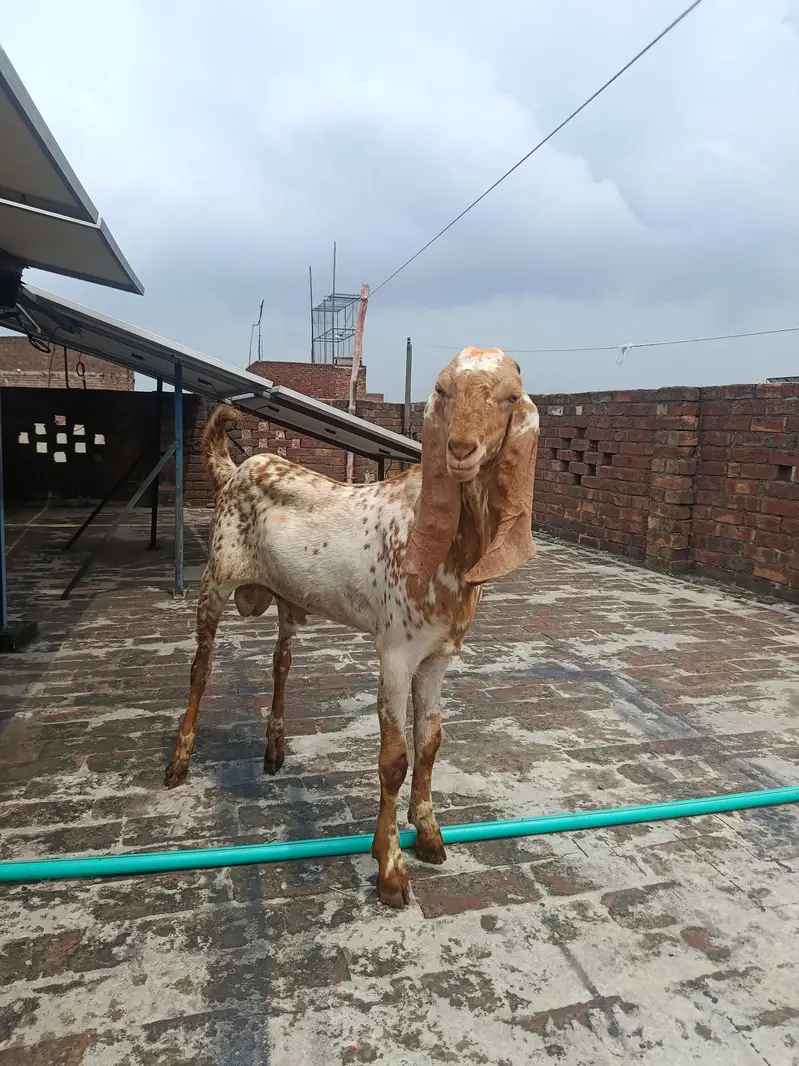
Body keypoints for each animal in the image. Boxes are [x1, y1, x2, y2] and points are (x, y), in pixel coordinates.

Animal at [164, 346, 539, 909]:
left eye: (511, 397)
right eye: (442, 390)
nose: (460, 449)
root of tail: (232, 469)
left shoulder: (438, 656)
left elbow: (431, 740)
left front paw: (430, 835)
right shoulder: (396, 651)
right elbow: (395, 758)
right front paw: (390, 868)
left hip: (286, 600)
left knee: (281, 662)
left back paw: (274, 750)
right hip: (216, 578)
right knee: (200, 669)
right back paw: (179, 761)